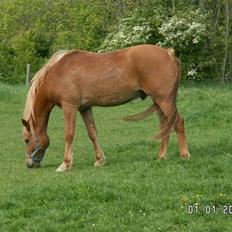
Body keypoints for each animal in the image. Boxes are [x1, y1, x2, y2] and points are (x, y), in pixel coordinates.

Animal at [21, 44, 190, 172]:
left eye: (26, 140)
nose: (29, 164)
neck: (58, 72)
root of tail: (169, 53)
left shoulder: (70, 107)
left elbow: (69, 135)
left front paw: (65, 164)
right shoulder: (85, 108)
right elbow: (92, 133)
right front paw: (99, 160)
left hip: (164, 101)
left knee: (179, 123)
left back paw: (184, 155)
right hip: (160, 102)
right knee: (165, 127)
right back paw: (161, 157)